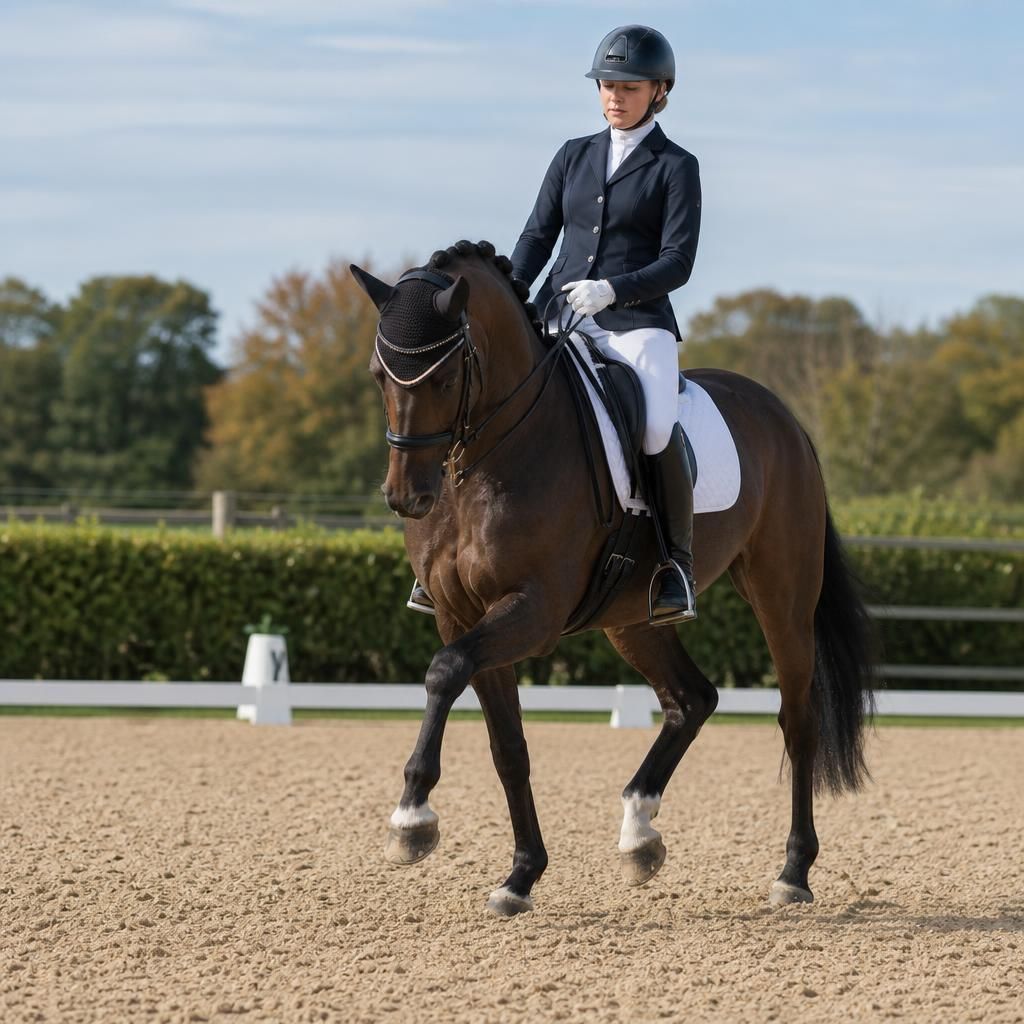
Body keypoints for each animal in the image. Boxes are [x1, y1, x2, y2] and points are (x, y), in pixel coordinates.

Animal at [351, 239, 875, 917]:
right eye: (378, 373)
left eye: (443, 376)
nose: (405, 497)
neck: (488, 460)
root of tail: (781, 416)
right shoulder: (460, 614)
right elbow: (507, 745)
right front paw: (521, 875)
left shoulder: (533, 611)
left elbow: (444, 671)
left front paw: (412, 819)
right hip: (633, 618)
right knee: (692, 699)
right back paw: (639, 834)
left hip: (781, 594)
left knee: (797, 716)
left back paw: (793, 871)